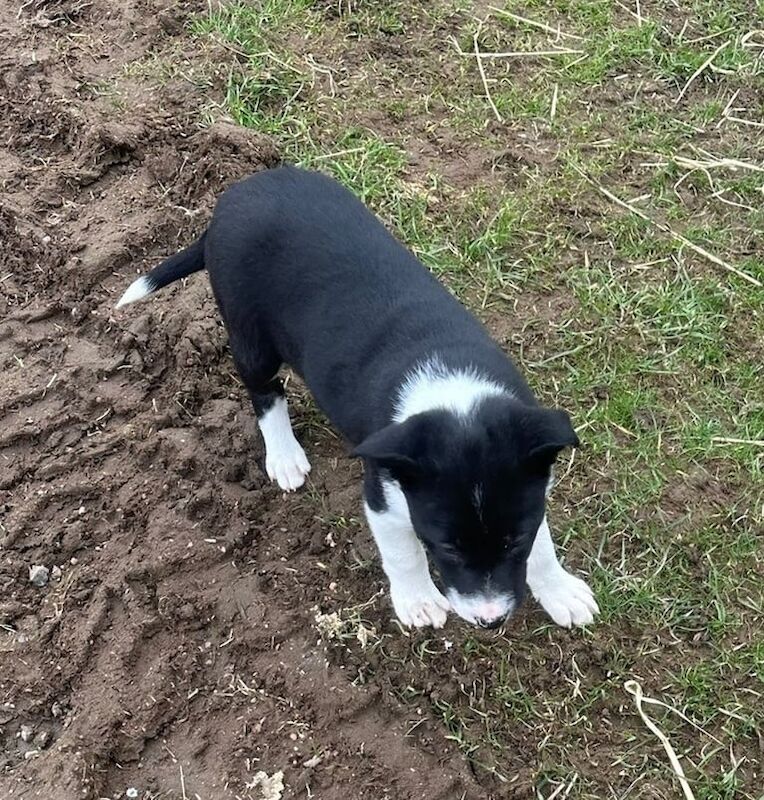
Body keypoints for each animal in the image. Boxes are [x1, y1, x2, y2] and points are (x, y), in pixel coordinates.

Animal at [118, 166, 596, 632]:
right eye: (446, 547)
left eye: (515, 540)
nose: (490, 621)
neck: (453, 391)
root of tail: (231, 201)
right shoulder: (382, 493)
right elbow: (403, 554)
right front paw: (419, 601)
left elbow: (543, 542)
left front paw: (559, 590)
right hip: (249, 334)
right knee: (266, 392)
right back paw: (284, 456)